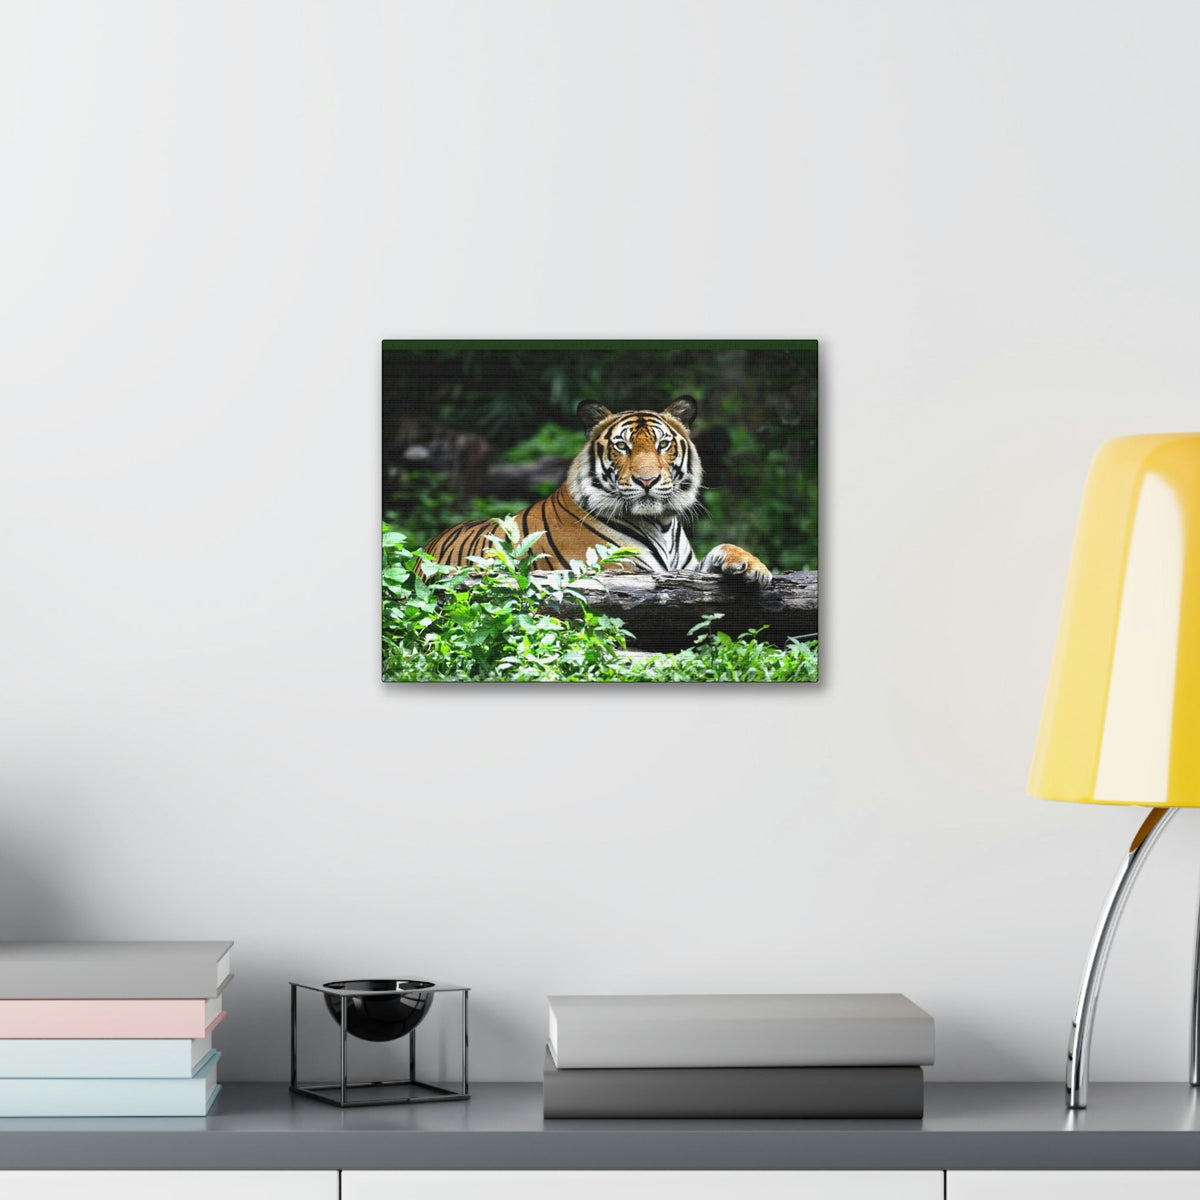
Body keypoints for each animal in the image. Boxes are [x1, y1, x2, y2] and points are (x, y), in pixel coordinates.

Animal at [422, 396, 772, 585]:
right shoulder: (614, 569)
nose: (647, 481)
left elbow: (723, 548)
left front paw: (754, 567)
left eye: (662, 445)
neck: (661, 523)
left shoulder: (683, 569)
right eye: (622, 446)